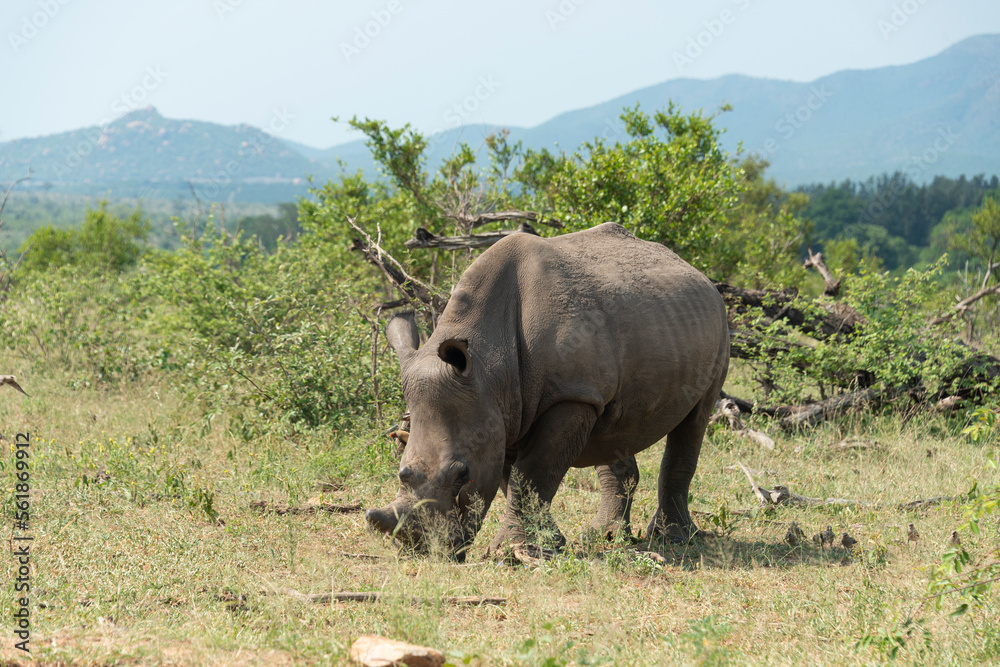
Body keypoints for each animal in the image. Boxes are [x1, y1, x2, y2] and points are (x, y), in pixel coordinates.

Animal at [365, 222, 730, 559]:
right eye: (401, 469)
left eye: (461, 475)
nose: (423, 550)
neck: (489, 367)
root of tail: (699, 274)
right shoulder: (502, 411)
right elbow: (515, 480)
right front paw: (547, 543)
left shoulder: (566, 397)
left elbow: (532, 474)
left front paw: (511, 552)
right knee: (614, 425)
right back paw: (605, 537)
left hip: (718, 324)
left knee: (695, 418)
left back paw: (673, 539)